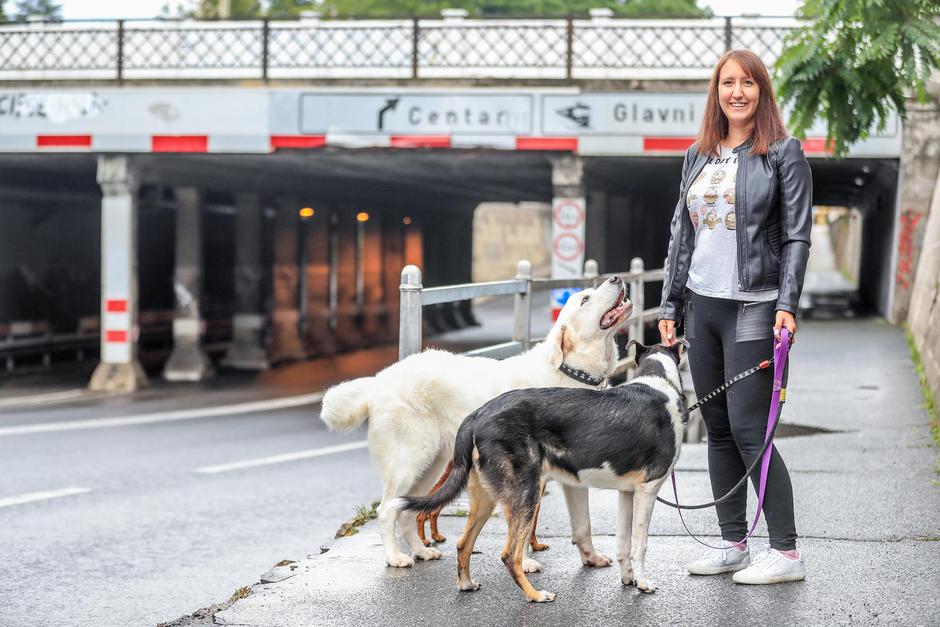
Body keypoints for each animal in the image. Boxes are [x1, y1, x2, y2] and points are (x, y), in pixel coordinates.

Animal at [320, 276, 636, 568]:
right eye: (584, 299)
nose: (616, 278)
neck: (570, 371)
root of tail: (380, 379)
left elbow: (583, 524)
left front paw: (592, 558)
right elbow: (523, 526)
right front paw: (526, 562)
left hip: (431, 465)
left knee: (408, 510)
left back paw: (421, 551)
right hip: (408, 461)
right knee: (386, 510)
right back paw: (395, 557)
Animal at [392, 340, 688, 604]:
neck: (660, 383)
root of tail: (476, 415)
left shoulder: (627, 492)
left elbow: (624, 544)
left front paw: (629, 579)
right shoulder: (648, 489)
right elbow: (640, 544)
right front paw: (644, 584)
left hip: (486, 498)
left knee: (464, 543)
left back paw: (466, 584)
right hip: (526, 494)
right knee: (509, 554)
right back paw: (535, 595)